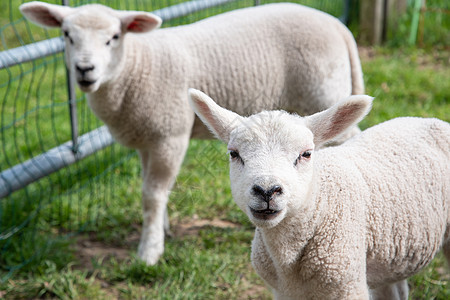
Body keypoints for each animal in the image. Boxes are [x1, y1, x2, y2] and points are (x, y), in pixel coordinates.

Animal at [20, 1, 366, 264]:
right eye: (66, 35)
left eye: (114, 37)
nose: (84, 70)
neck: (137, 66)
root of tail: (338, 26)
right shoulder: (148, 138)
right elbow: (152, 189)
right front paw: (161, 228)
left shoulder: (169, 134)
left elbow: (152, 193)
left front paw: (149, 250)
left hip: (324, 93)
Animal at [190, 88, 450, 298]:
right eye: (234, 154)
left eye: (306, 154)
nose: (267, 190)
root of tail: (425, 119)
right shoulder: (283, 292)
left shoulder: (347, 284)